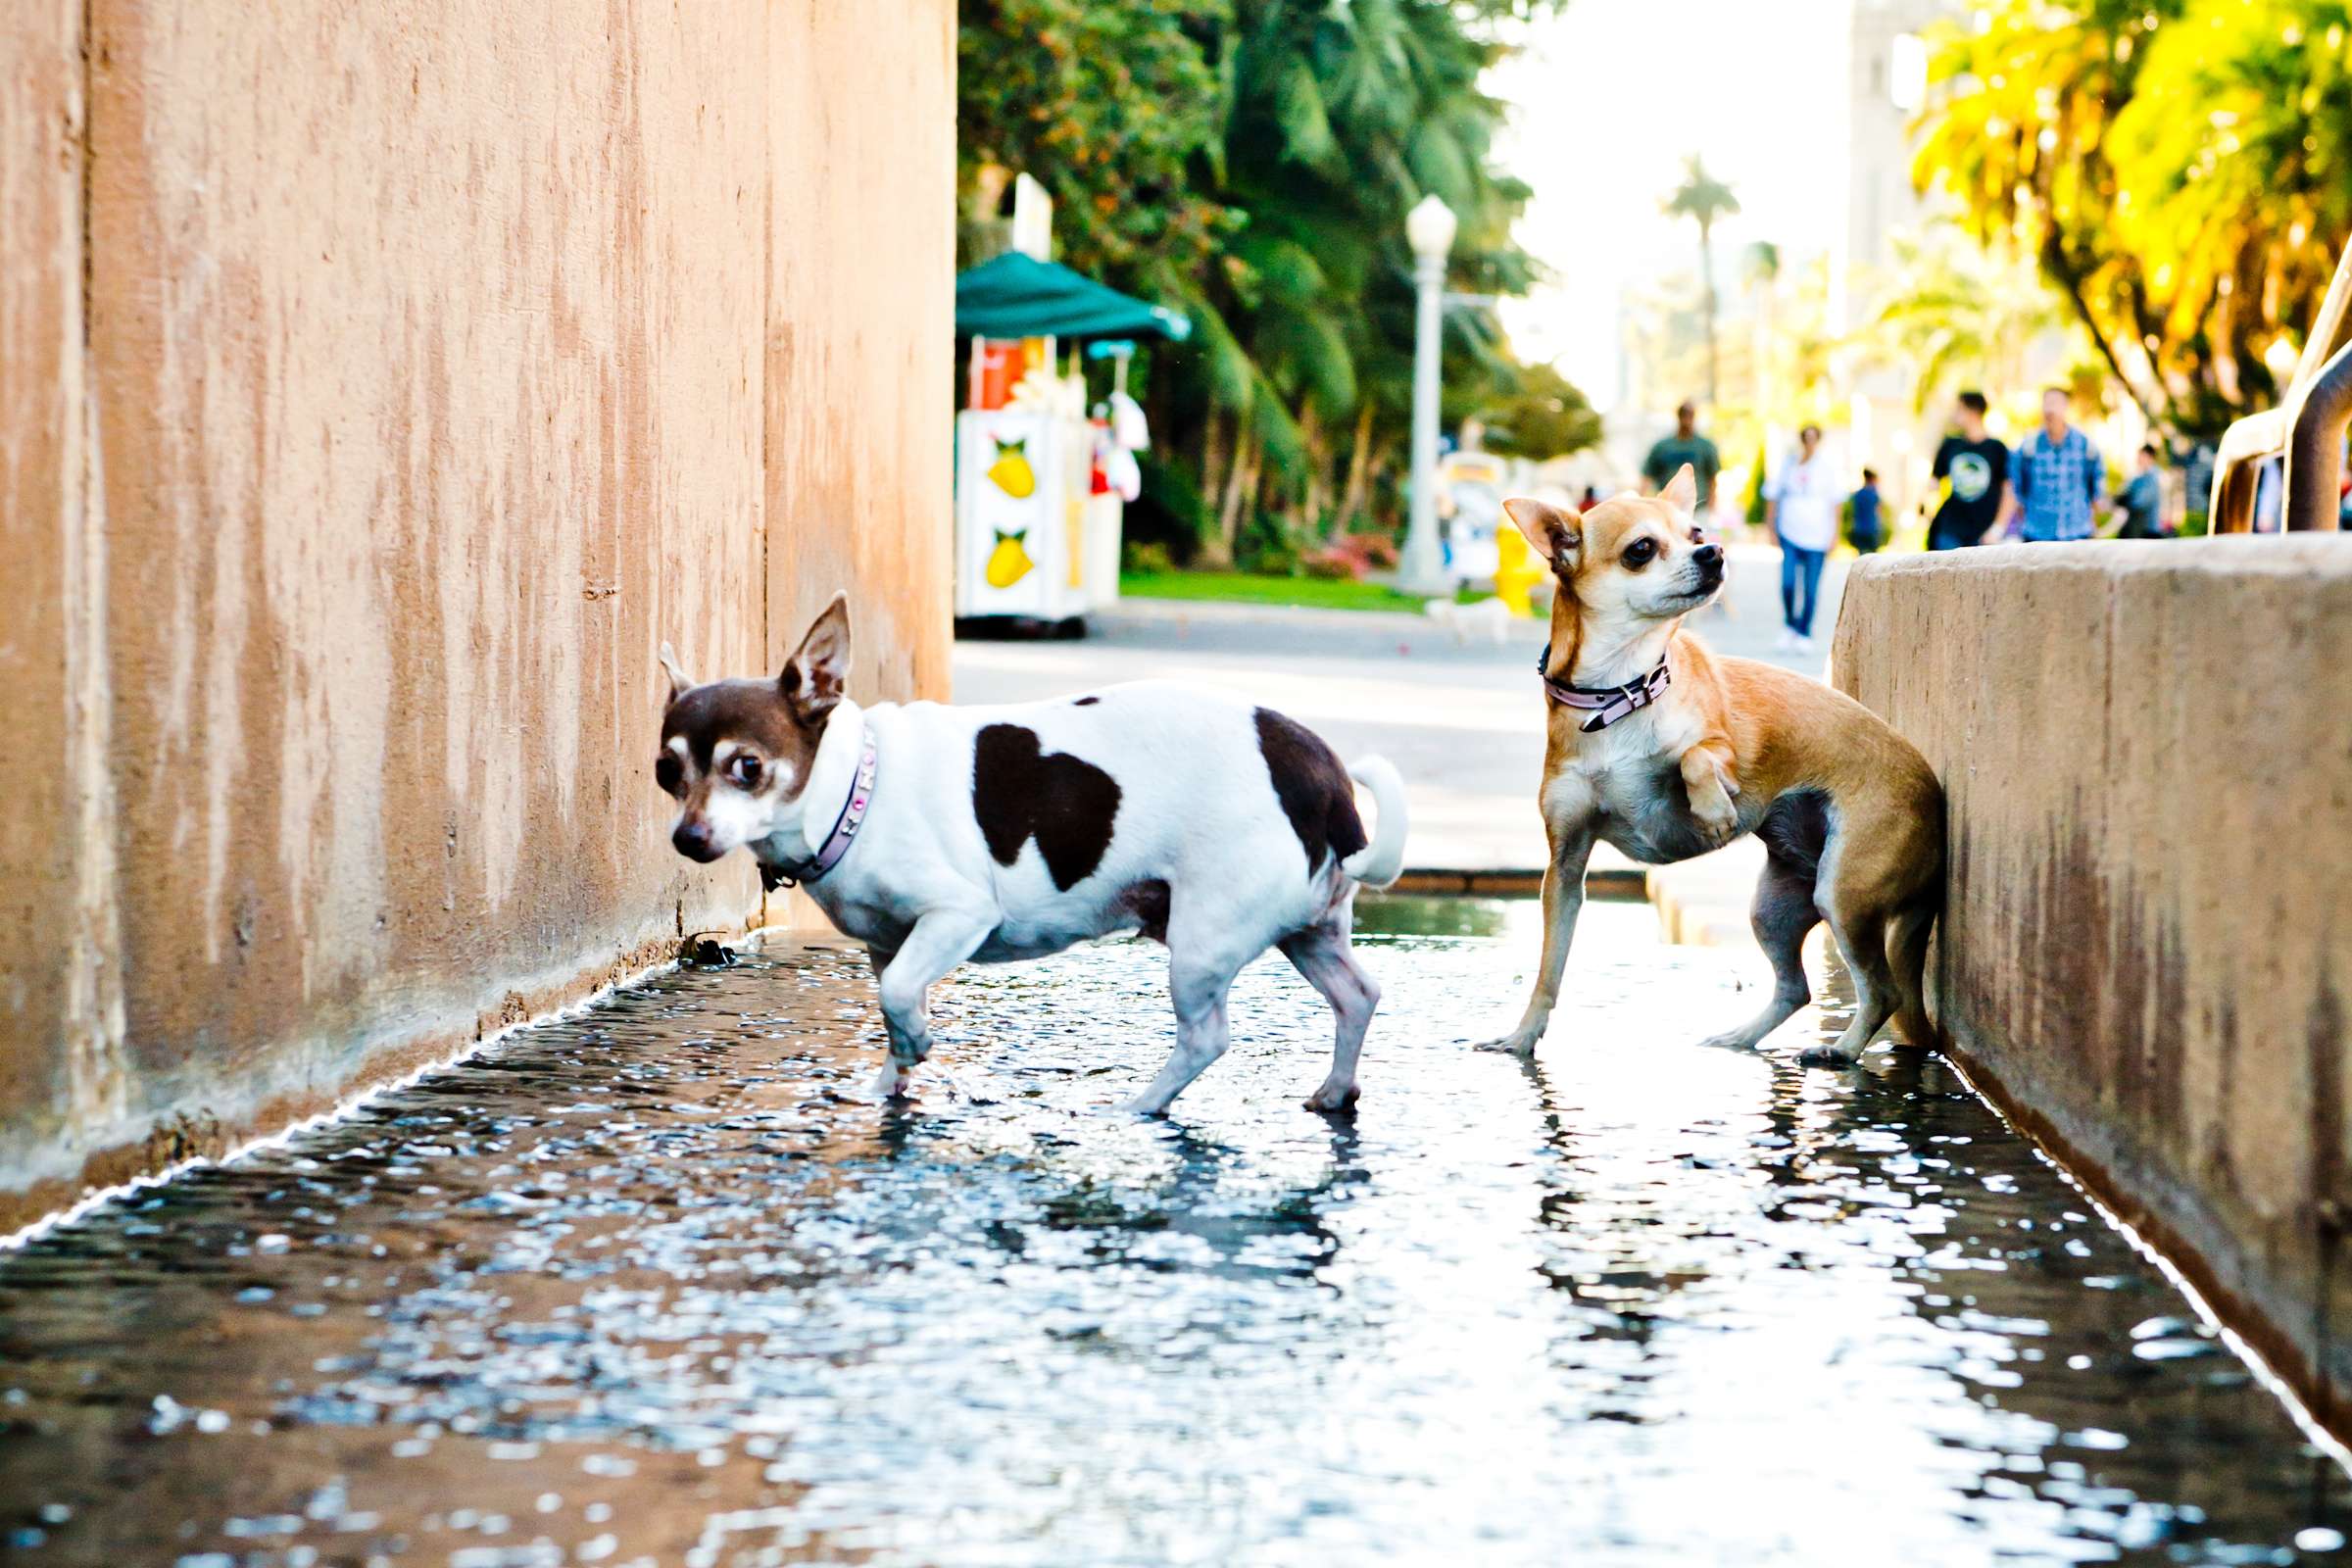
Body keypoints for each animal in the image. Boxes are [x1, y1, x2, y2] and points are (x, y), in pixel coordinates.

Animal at [654, 592, 1401, 1114]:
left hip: (1203, 944)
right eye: (667, 772)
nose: (686, 838)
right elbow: (893, 1007)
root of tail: (1318, 770)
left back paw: (1137, 1107)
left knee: (1206, 1038)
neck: (857, 789)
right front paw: (893, 1077)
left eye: (747, 767)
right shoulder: (890, 944)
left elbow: (898, 998)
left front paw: (916, 1046)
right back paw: (1335, 1090)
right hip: (1308, 932)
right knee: (1358, 996)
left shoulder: (957, 916)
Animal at [1486, 465, 1947, 1067]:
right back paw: (1740, 1037)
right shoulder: (1564, 868)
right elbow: (1548, 970)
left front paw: (1712, 809)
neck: (1620, 691)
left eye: (1696, 532)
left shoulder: (1723, 745)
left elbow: (1693, 756)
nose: (1713, 553)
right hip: (1775, 908)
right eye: (1641, 549)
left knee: (1883, 990)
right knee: (1797, 988)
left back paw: (1841, 1050)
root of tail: (1936, 803)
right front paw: (1521, 1038)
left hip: (1843, 896)